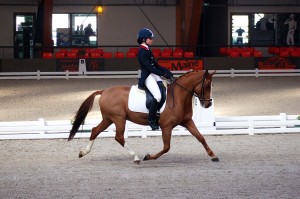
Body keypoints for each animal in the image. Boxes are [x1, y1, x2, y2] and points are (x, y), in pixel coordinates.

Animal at [68, 69, 219, 163]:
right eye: (206, 85)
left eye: (212, 85)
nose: (208, 104)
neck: (178, 97)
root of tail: (104, 91)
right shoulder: (166, 126)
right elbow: (166, 147)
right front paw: (148, 156)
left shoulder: (187, 121)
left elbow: (201, 137)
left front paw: (213, 155)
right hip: (118, 119)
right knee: (119, 137)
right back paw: (136, 157)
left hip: (108, 119)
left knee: (95, 130)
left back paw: (83, 152)